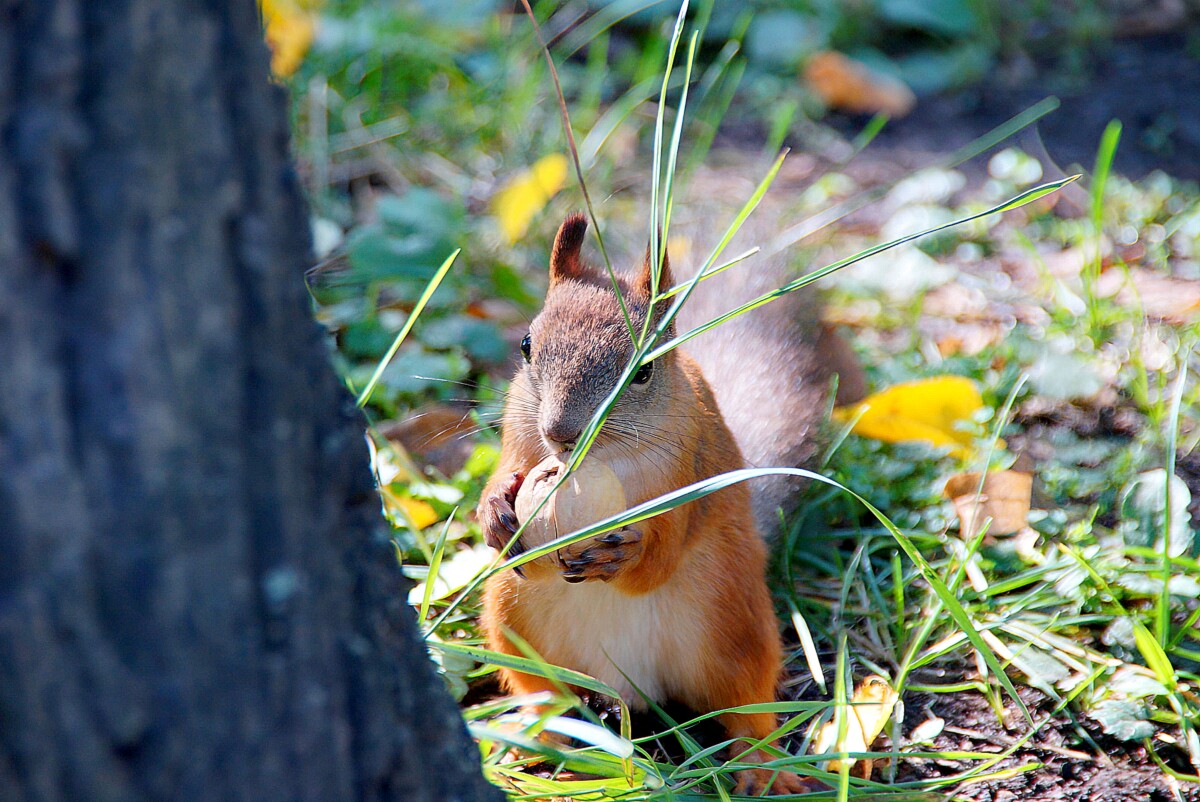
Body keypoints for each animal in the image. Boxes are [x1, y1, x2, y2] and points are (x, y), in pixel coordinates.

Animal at [472, 212, 849, 797]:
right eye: (527, 345)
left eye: (644, 371)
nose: (560, 434)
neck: (601, 463)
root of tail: (627, 686)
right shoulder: (518, 436)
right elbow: (500, 477)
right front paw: (495, 511)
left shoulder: (686, 479)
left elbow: (661, 556)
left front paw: (623, 556)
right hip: (513, 618)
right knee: (546, 695)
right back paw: (529, 740)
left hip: (731, 626)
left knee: (746, 707)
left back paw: (762, 767)